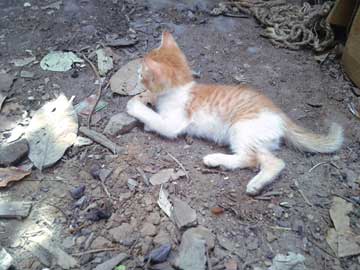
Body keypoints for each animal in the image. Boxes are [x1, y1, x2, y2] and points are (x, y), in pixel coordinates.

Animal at [126, 31, 344, 195]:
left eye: (141, 74)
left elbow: (156, 119)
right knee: (274, 162)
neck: (182, 88)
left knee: (249, 159)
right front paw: (147, 120)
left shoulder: (174, 123)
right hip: (259, 139)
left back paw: (217, 160)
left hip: (241, 127)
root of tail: (280, 114)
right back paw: (256, 183)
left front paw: (134, 106)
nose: (135, 75)